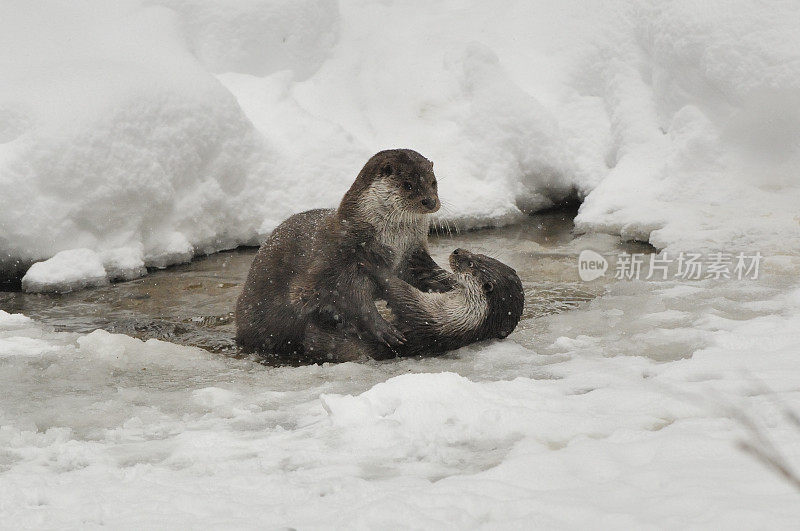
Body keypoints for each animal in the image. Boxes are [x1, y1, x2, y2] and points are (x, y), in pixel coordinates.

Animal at [234, 149, 454, 362]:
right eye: (408, 185)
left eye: (433, 182)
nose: (430, 201)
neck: (391, 245)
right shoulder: (342, 261)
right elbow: (352, 300)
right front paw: (384, 329)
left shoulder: (409, 257)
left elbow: (421, 276)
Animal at [362, 248, 524, 358]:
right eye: (479, 255)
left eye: (471, 264)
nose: (457, 251)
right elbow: (445, 280)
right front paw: (424, 261)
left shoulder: (432, 315)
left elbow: (402, 293)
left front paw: (375, 266)